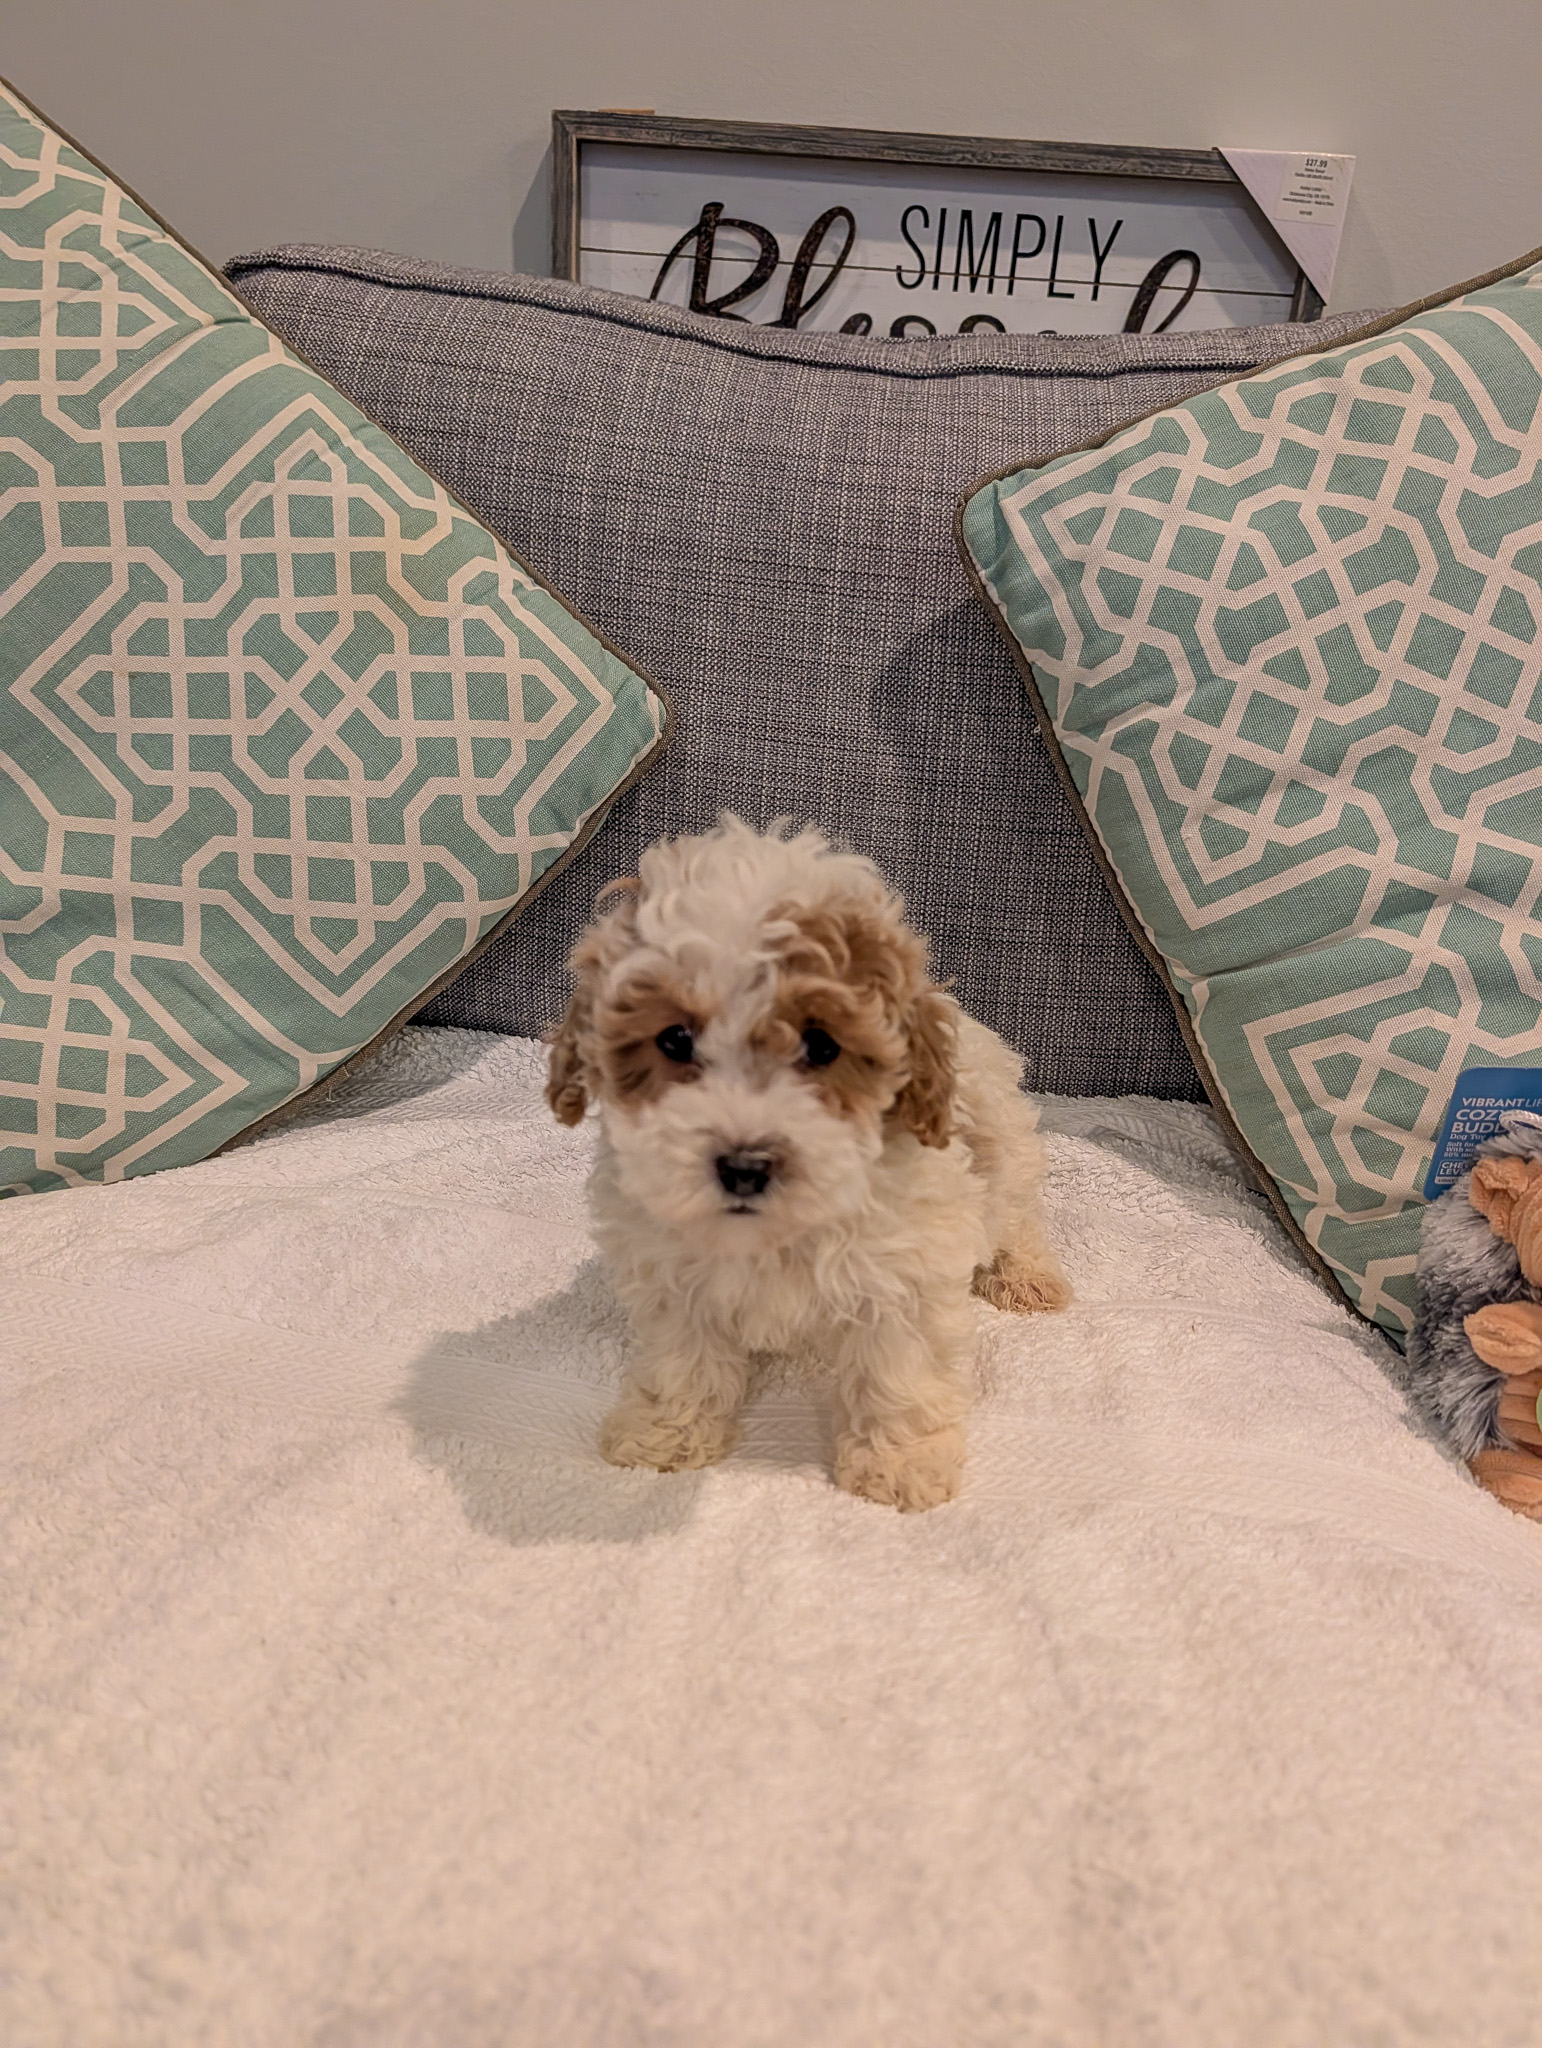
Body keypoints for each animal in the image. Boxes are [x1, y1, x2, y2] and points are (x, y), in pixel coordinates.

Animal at [546, 816, 1070, 1510]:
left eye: (822, 1046)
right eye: (675, 1039)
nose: (744, 1165)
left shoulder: (904, 1272)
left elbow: (898, 1371)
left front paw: (901, 1463)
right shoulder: (671, 1273)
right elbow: (682, 1359)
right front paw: (665, 1434)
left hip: (1001, 1141)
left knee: (1017, 1215)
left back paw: (1028, 1277)